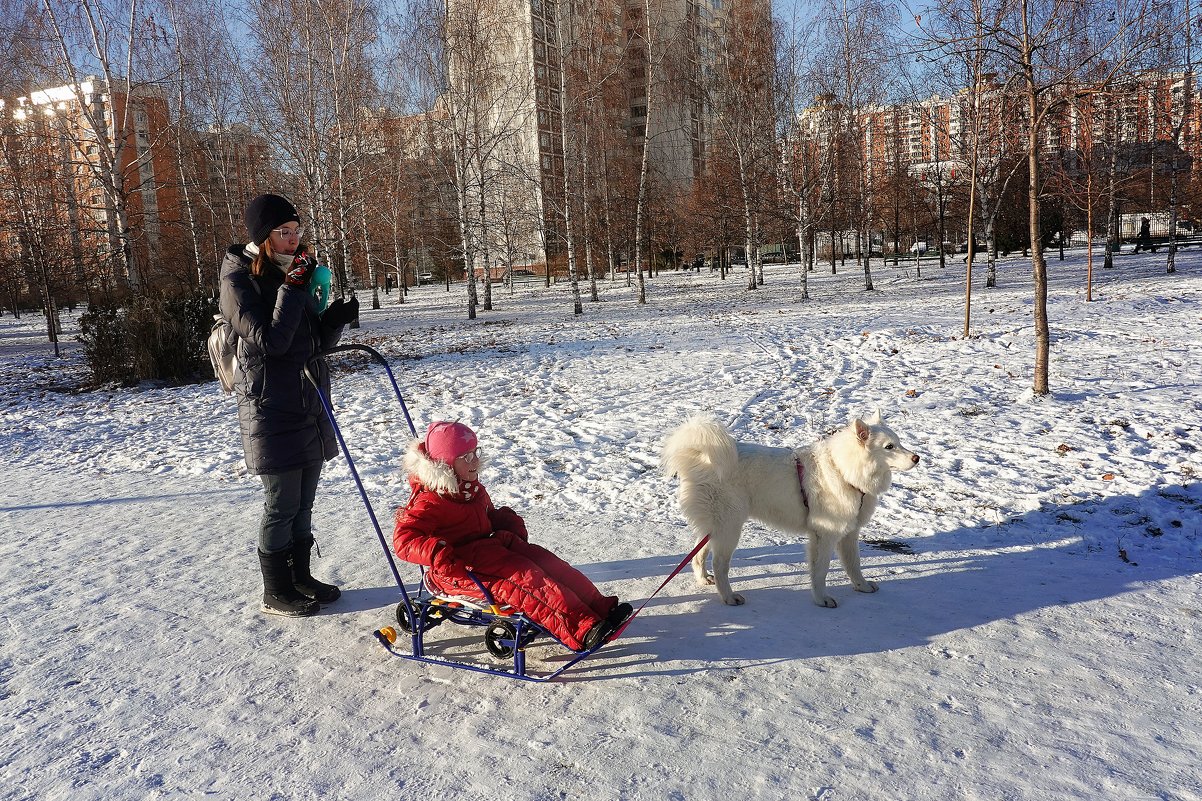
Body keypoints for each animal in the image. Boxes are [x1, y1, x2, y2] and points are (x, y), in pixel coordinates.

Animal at [663, 411, 913, 606]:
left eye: (899, 442)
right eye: (889, 447)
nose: (917, 458)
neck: (844, 471)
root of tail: (701, 459)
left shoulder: (849, 534)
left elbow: (854, 565)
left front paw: (862, 587)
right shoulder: (824, 535)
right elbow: (820, 570)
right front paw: (821, 599)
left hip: (715, 526)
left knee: (698, 555)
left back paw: (704, 579)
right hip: (730, 527)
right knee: (719, 564)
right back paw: (729, 597)